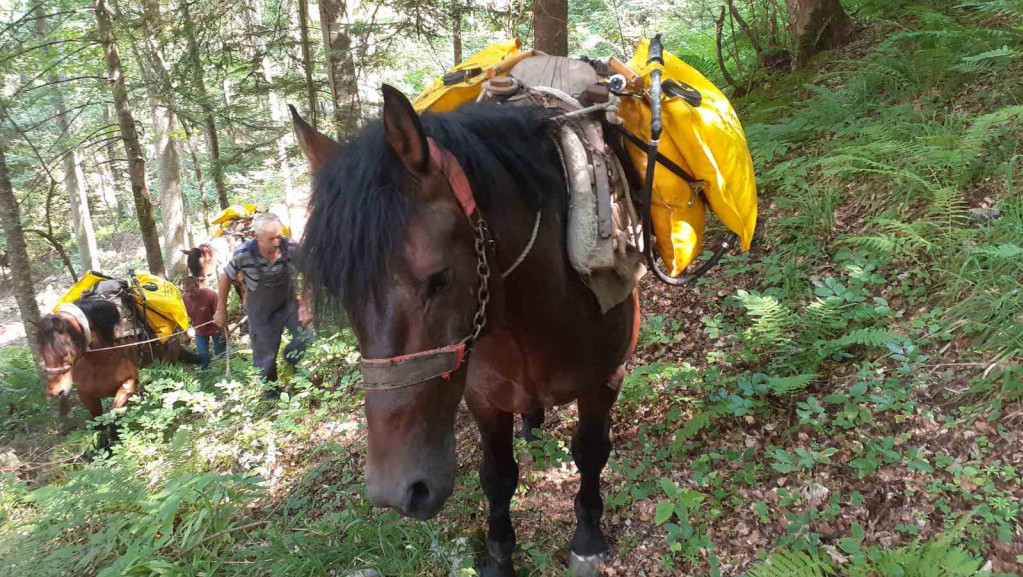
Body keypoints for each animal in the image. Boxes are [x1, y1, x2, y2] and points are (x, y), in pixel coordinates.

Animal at [35, 296, 180, 419]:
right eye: (41, 352)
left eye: (64, 353)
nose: (55, 392)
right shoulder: (86, 395)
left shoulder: (129, 383)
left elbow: (113, 413)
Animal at [292, 86, 638, 577]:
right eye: (343, 293)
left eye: (438, 279)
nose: (396, 492)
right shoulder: (482, 397)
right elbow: (498, 475)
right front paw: (498, 555)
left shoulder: (606, 379)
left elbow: (590, 452)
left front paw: (588, 538)